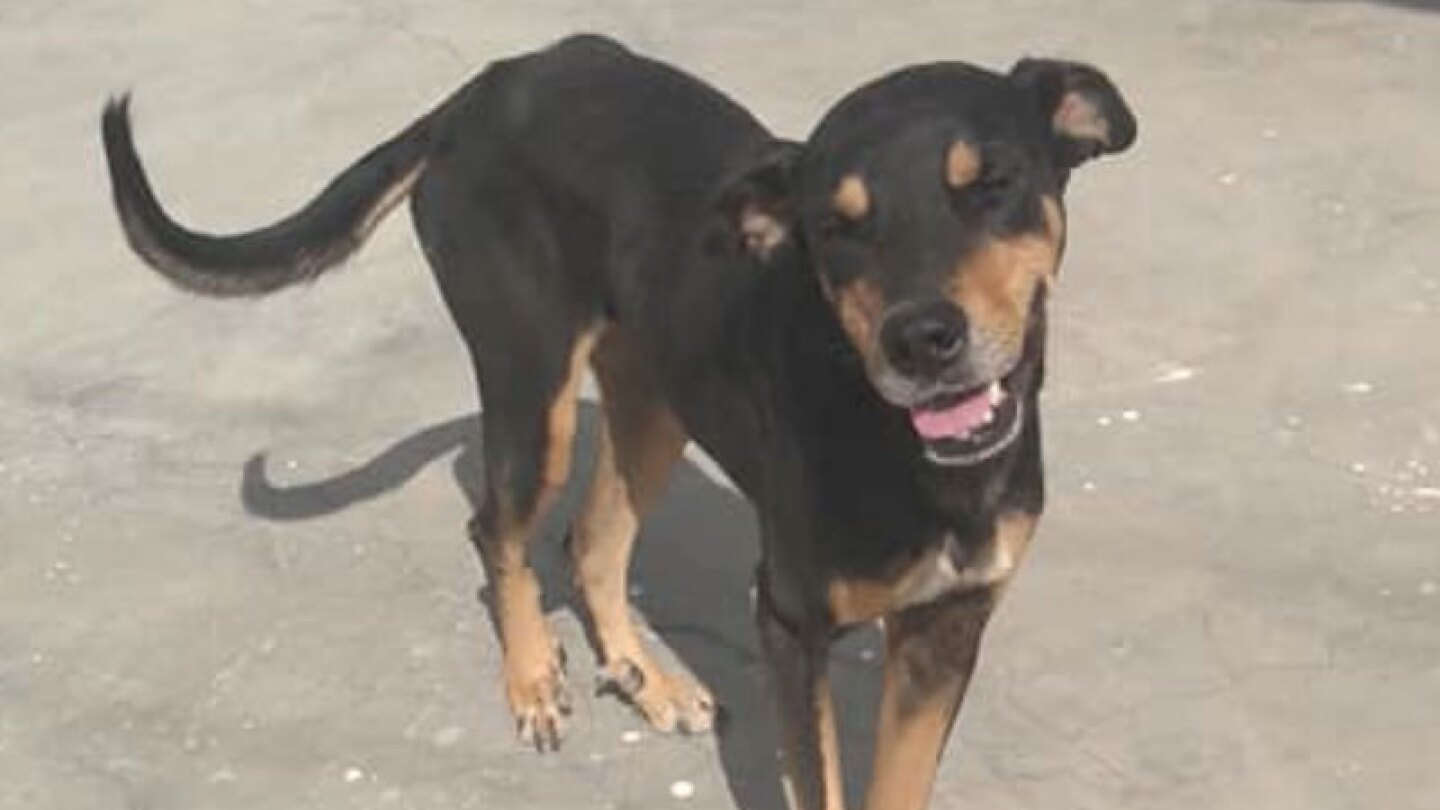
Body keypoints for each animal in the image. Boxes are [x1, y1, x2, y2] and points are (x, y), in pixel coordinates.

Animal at [101, 34, 1134, 807]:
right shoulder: (791, 627)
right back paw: (531, 681)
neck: (908, 450)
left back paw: (647, 678)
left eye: (992, 183)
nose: (921, 340)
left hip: (654, 401)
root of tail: (484, 89)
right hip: (533, 392)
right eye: (835, 228)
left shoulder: (947, 632)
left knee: (592, 541)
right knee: (497, 530)